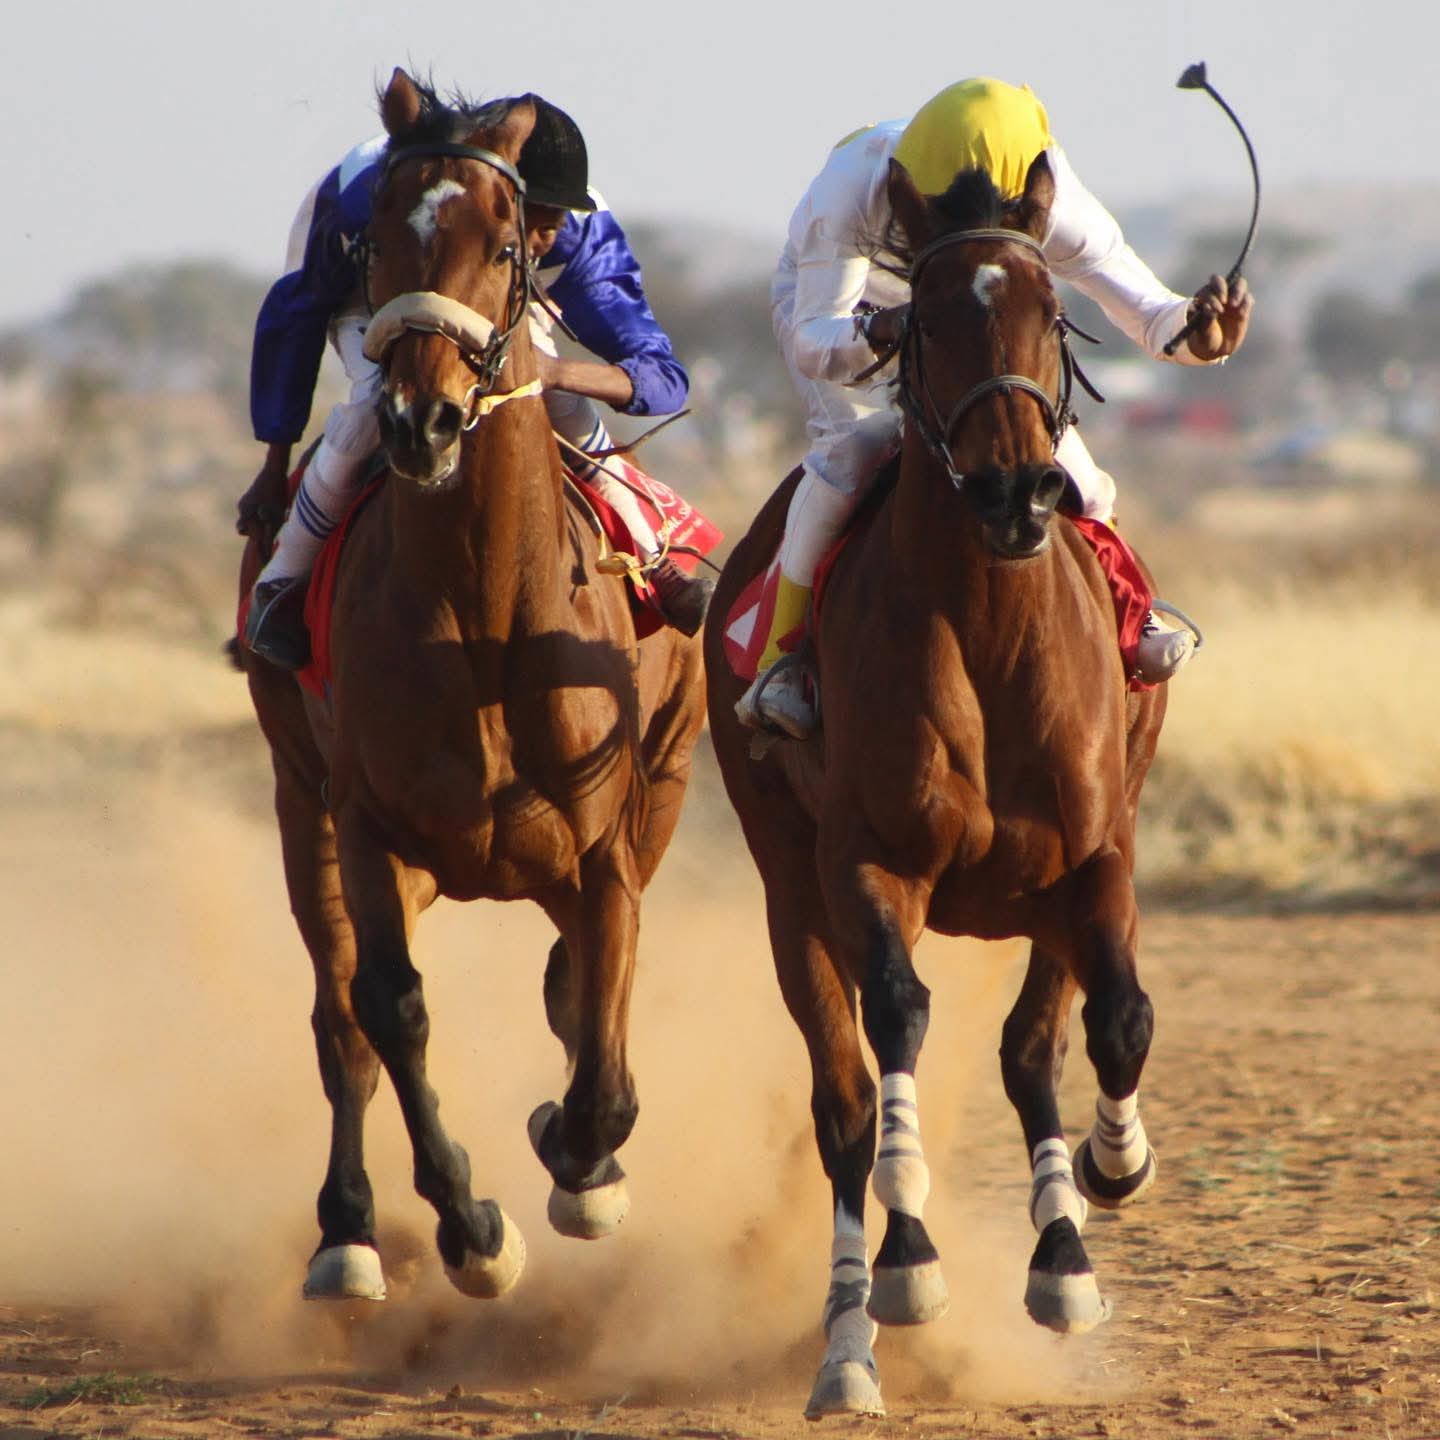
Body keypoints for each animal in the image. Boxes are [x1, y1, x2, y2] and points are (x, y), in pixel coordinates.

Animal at [238, 70, 706, 1304]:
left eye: (506, 245)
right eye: (382, 242)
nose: (423, 418)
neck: (487, 619)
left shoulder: (607, 840)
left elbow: (600, 1027)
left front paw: (582, 1168)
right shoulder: (364, 823)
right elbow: (389, 1010)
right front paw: (473, 1229)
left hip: (663, 781)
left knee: (578, 977)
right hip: (300, 804)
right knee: (340, 1017)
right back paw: (348, 1234)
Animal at [704, 152, 1167, 1417]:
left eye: (1051, 314)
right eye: (926, 325)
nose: (1017, 493)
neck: (993, 634)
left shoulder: (1096, 856)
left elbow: (1113, 1019)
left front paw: (1111, 1172)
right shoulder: (869, 864)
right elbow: (897, 1021)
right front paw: (908, 1263)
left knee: (1028, 1051)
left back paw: (1060, 1255)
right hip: (787, 887)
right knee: (844, 1104)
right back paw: (849, 1343)